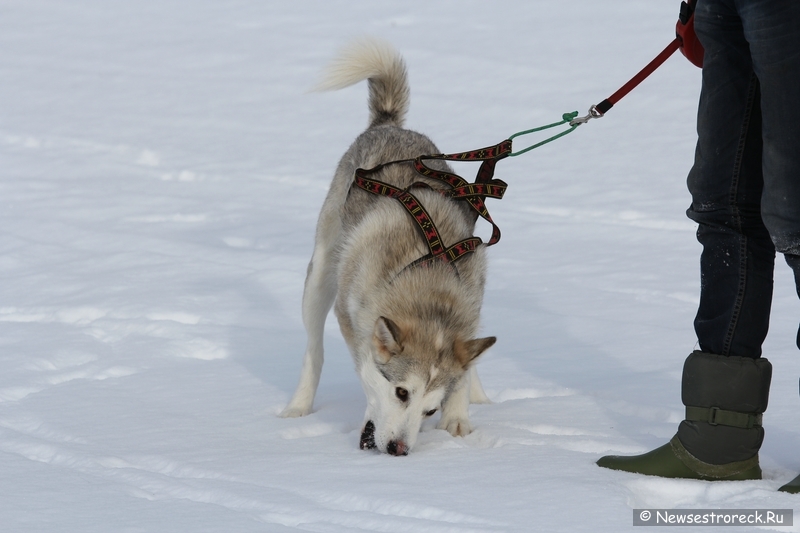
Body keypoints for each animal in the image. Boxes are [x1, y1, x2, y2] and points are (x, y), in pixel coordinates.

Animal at [280, 37, 494, 456]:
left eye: (430, 410)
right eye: (401, 393)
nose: (399, 449)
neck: (428, 270)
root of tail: (390, 124)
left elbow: (462, 371)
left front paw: (458, 418)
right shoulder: (354, 321)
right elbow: (364, 372)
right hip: (321, 276)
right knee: (314, 350)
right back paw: (299, 406)